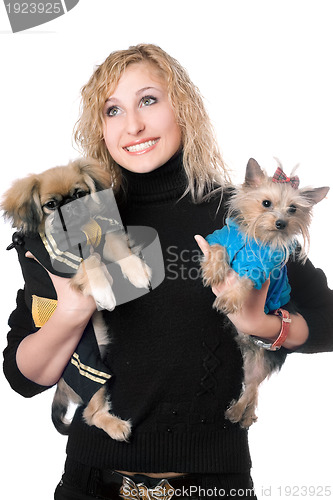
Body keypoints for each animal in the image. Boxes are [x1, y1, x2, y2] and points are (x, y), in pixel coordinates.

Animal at [0, 157, 152, 442]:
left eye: (79, 194)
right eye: (50, 205)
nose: (69, 208)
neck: (79, 234)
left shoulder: (105, 238)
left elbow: (119, 249)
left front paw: (137, 272)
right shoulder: (60, 260)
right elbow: (89, 262)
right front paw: (103, 290)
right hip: (89, 372)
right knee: (90, 414)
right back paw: (115, 426)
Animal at [200, 160, 326, 430]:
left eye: (293, 209)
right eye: (266, 203)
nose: (281, 223)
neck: (257, 238)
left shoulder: (262, 268)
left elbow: (247, 280)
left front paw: (230, 298)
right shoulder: (220, 237)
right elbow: (217, 248)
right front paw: (214, 269)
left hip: (262, 359)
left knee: (252, 388)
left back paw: (238, 412)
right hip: (250, 357)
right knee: (253, 388)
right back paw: (245, 414)